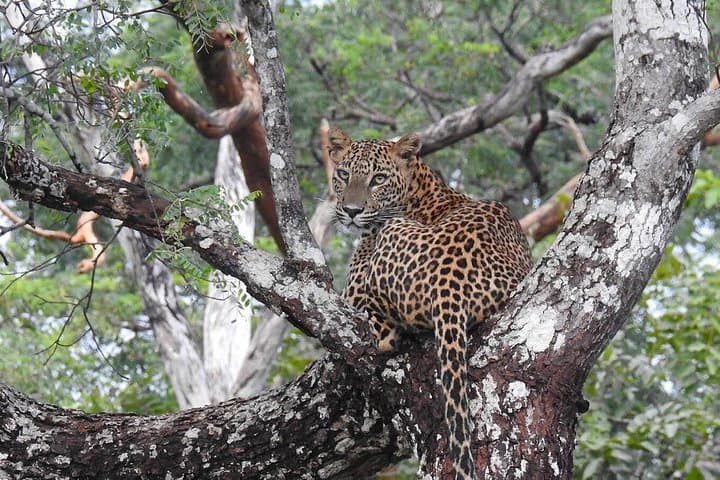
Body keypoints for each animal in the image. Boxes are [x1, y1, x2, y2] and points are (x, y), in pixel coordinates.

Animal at [329, 128, 532, 480]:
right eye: (343, 174)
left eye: (378, 179)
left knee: (387, 335)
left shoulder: (352, 292)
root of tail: (449, 279)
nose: (352, 211)